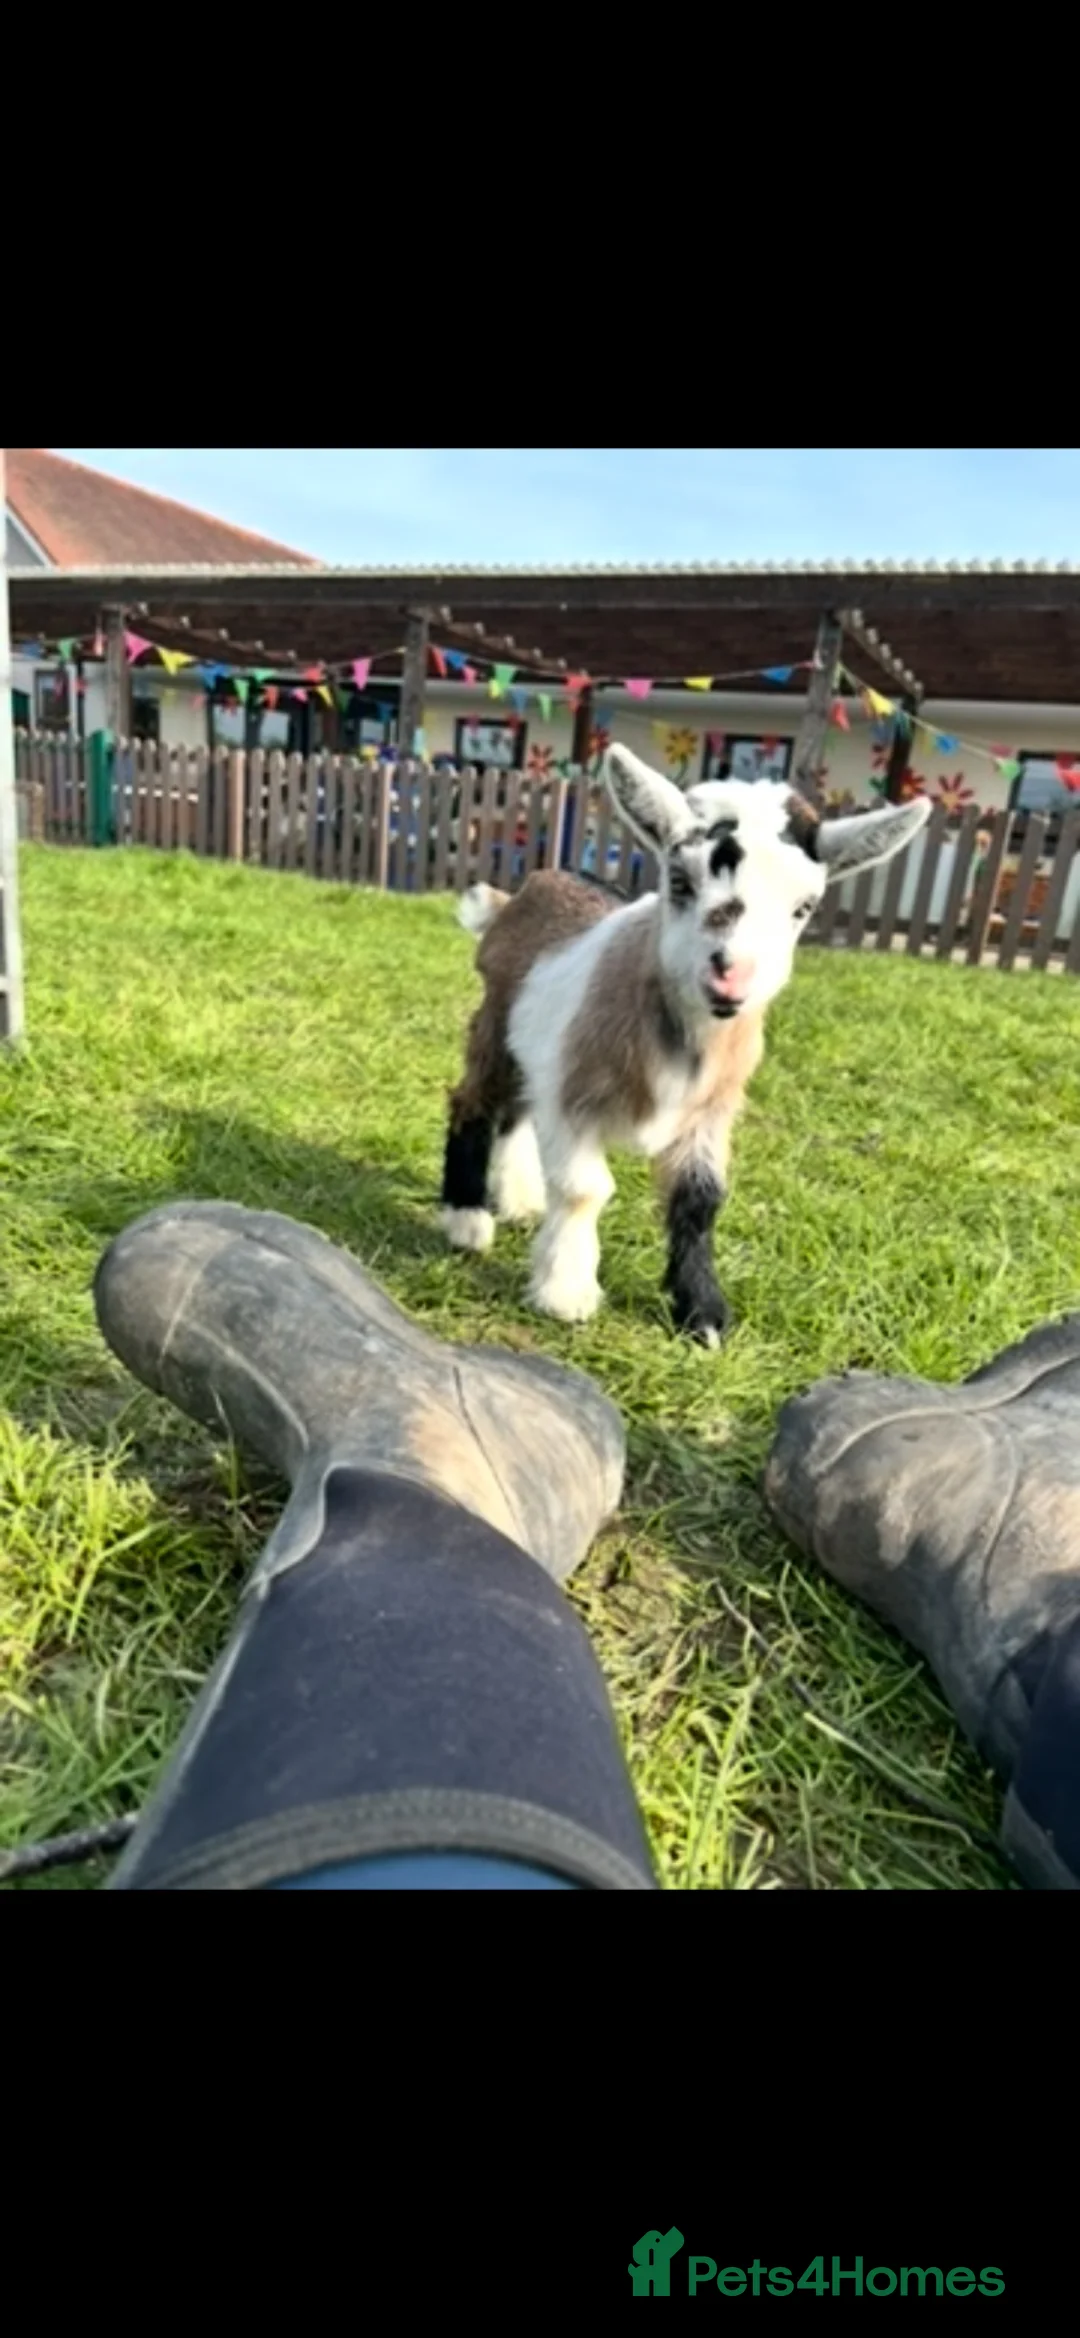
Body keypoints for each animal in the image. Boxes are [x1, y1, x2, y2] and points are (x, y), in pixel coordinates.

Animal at [440, 745, 929, 1343]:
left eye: (804, 907)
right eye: (680, 881)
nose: (732, 977)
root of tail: (530, 887)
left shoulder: (710, 1113)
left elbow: (699, 1200)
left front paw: (703, 1314)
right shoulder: (574, 1096)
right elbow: (584, 1188)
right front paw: (566, 1293)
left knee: (517, 1113)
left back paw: (521, 1201)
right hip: (496, 1023)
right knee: (475, 1100)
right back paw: (466, 1218)